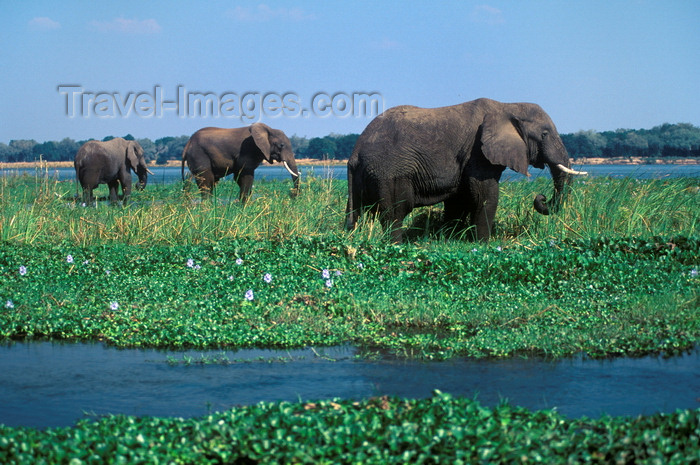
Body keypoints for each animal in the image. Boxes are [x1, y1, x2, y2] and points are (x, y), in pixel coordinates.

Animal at [348, 98, 588, 243]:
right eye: (545, 134)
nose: (541, 198)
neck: (507, 106)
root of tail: (355, 153)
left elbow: (459, 199)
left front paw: (450, 238)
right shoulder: (478, 152)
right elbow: (484, 195)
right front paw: (484, 244)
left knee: (357, 214)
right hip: (390, 174)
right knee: (395, 212)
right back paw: (396, 245)